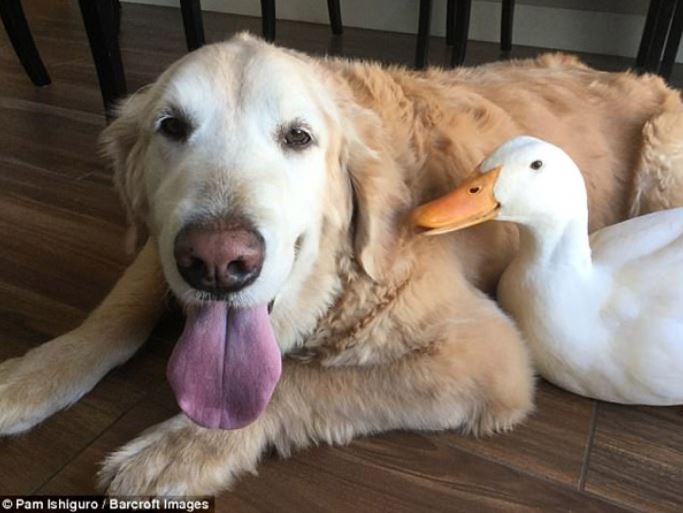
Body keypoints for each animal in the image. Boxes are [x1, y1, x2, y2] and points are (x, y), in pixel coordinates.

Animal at [1, 33, 683, 496]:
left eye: (298, 137)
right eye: (171, 126)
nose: (219, 263)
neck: (333, 284)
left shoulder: (488, 356)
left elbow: (295, 384)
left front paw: (181, 448)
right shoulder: (161, 244)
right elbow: (115, 312)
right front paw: (33, 375)